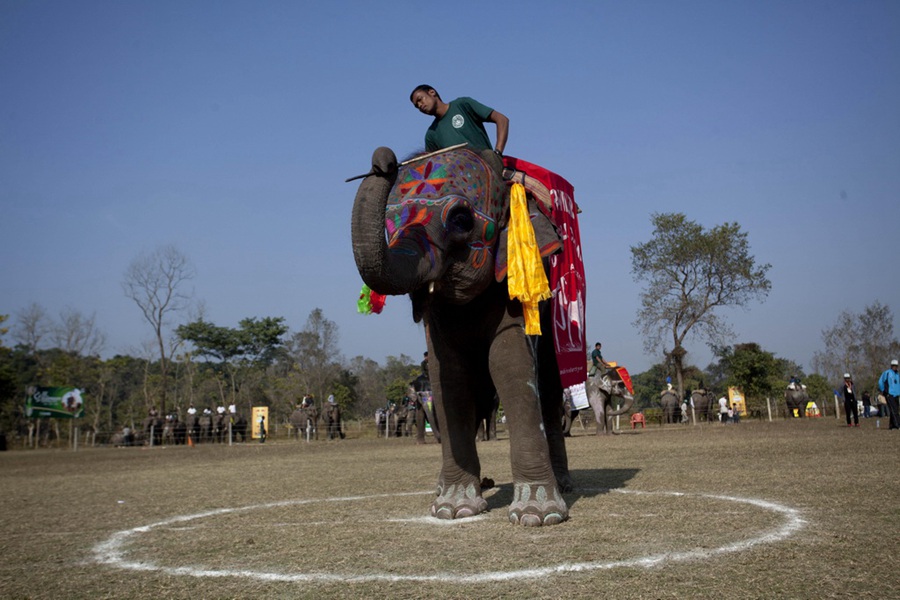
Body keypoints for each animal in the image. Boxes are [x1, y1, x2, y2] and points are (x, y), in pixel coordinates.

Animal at [352, 146, 574, 526]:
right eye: (388, 222)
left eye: (459, 219)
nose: (383, 161)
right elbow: (449, 377)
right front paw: (452, 509)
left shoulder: (511, 285)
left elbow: (509, 364)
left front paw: (536, 515)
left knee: (547, 383)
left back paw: (562, 485)